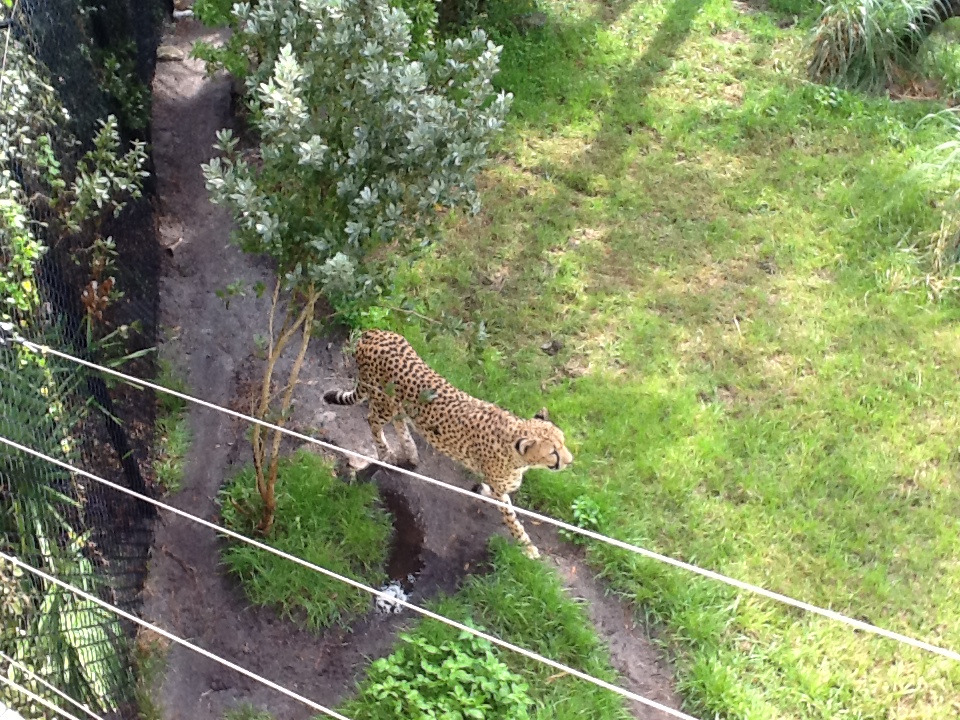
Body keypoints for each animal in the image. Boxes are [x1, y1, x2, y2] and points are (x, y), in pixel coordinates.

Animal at [323, 329, 573, 559]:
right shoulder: (501, 488)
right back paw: (387, 453)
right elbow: (512, 519)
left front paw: (481, 489)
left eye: (563, 442)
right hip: (384, 401)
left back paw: (410, 451)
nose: (570, 462)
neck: (514, 439)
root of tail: (372, 332)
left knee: (399, 421)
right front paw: (528, 547)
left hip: (399, 403)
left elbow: (491, 491)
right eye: (553, 452)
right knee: (373, 420)